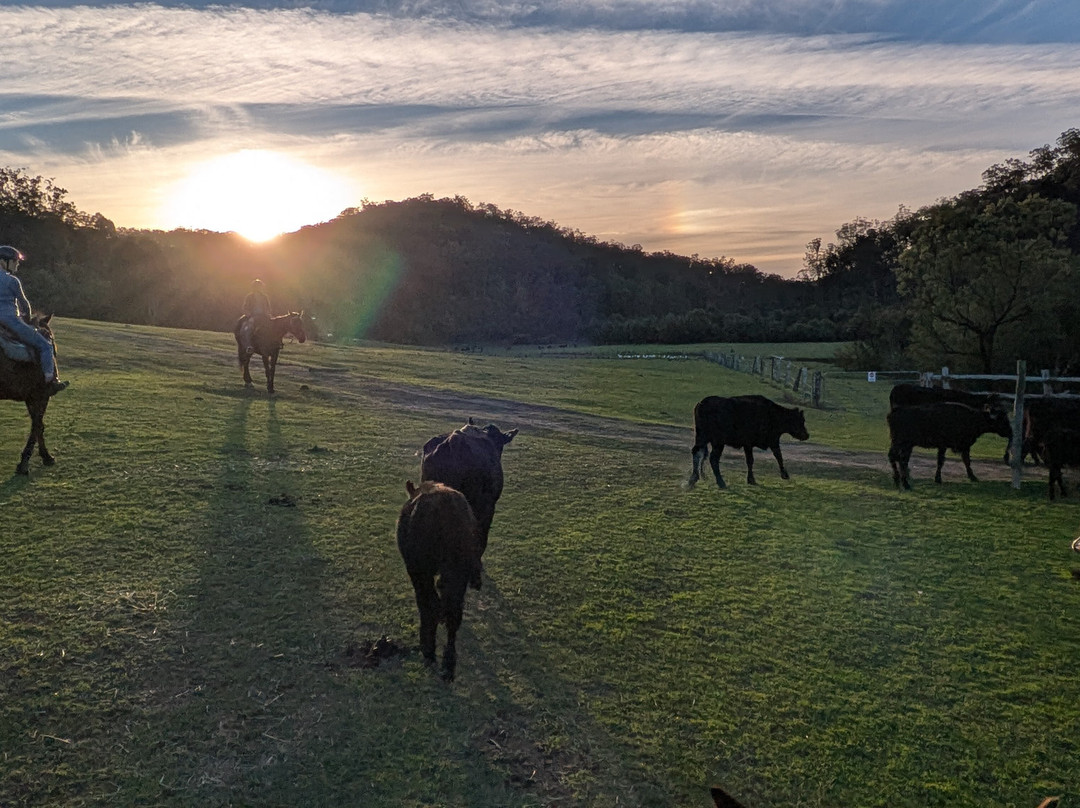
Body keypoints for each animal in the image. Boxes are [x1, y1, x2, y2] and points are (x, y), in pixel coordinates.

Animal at [0, 313, 60, 475]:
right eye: (50, 336)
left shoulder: (31, 397)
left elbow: (38, 425)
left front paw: (44, 456)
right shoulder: (42, 395)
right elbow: (37, 425)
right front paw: (26, 463)